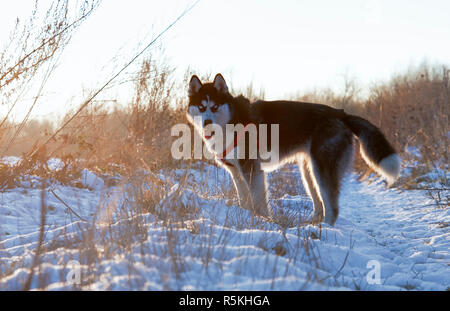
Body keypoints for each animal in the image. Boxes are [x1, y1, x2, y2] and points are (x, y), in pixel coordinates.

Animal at [186, 75, 400, 227]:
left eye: (214, 106)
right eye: (201, 107)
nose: (206, 122)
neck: (231, 122)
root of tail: (341, 114)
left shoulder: (252, 169)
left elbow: (258, 200)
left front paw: (261, 221)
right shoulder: (236, 172)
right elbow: (244, 199)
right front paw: (245, 215)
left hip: (322, 170)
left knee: (332, 207)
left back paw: (324, 230)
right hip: (308, 172)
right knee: (319, 203)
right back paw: (311, 223)